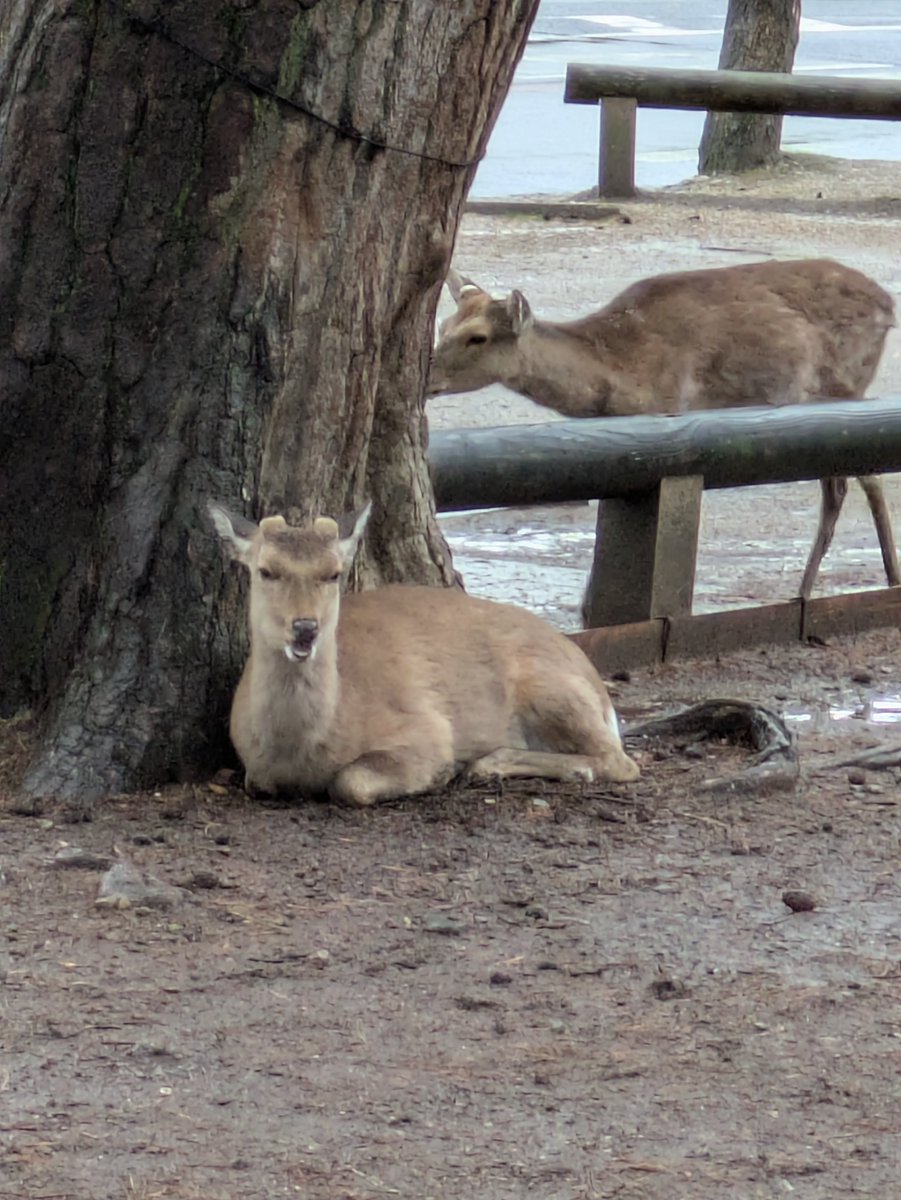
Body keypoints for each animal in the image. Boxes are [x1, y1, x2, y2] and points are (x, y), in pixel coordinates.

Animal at [208, 502, 639, 805]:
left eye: (333, 573)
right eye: (266, 570)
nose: (305, 628)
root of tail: (601, 691)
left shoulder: (425, 729)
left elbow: (351, 781)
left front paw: (441, 773)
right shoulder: (255, 770)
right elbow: (258, 782)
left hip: (552, 688)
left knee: (621, 761)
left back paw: (485, 765)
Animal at [428, 259, 899, 602]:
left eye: (477, 337)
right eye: (442, 326)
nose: (426, 374)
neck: (617, 371)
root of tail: (888, 306)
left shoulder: (667, 409)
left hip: (841, 384)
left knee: (862, 480)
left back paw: (871, 583)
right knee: (844, 484)